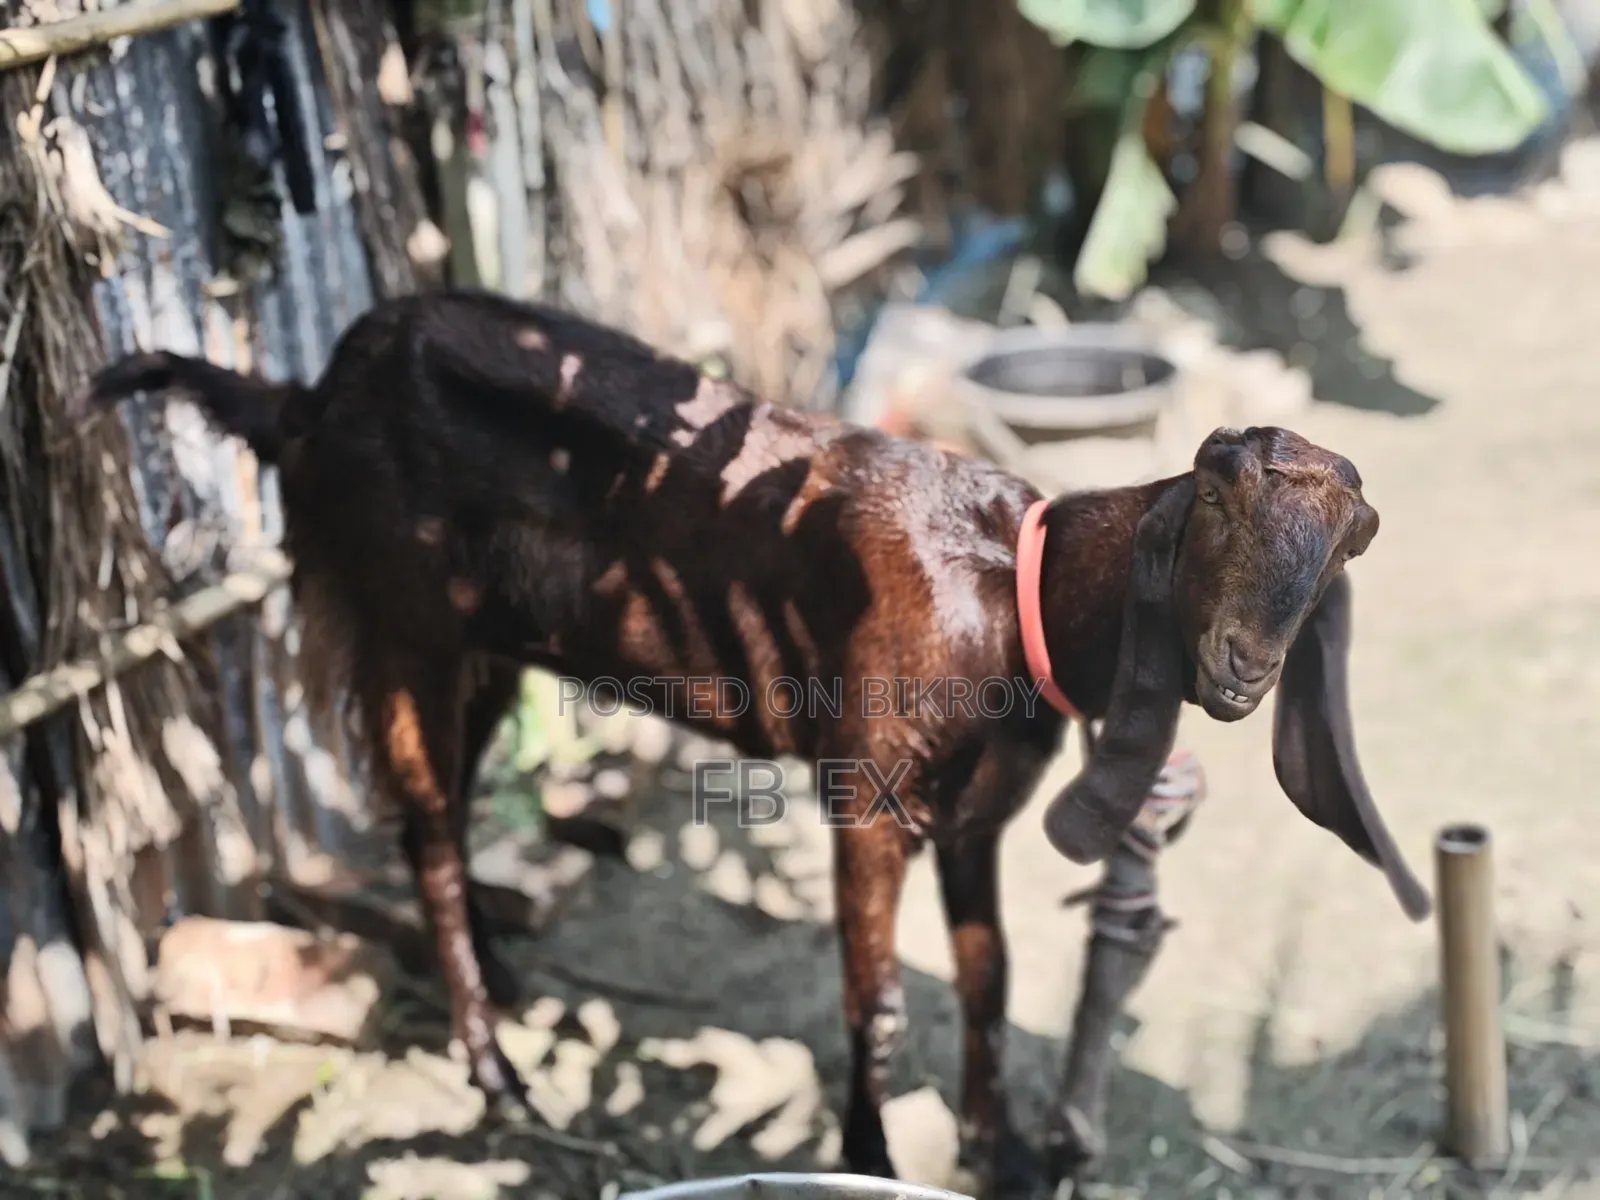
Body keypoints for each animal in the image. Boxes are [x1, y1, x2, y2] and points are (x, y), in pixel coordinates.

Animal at [77, 289, 1431, 1197]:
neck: (1009, 588)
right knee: (418, 814)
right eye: (1219, 509)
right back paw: (496, 1074)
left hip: (488, 644)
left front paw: (991, 1148)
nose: (1241, 669)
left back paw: (503, 993)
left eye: (1333, 562)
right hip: (398, 612)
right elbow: (875, 1003)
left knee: (447, 811)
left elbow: (989, 980)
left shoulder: (978, 811)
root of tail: (306, 398)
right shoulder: (868, 791)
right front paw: (866, 1158)